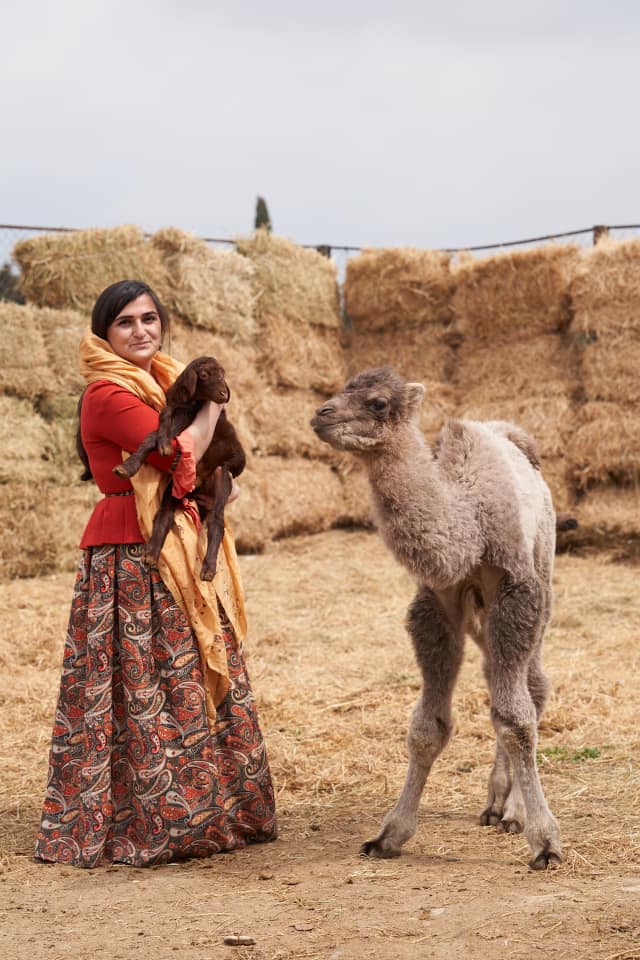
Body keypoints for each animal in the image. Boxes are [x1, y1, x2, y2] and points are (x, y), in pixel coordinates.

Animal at [312, 368, 564, 872]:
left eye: (378, 403)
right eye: (343, 388)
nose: (320, 414)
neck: (468, 526)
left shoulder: (517, 592)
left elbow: (516, 718)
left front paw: (545, 843)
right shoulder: (437, 603)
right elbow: (428, 727)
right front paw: (388, 835)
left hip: (541, 582)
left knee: (532, 687)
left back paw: (513, 812)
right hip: (481, 617)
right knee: (495, 680)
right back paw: (496, 805)